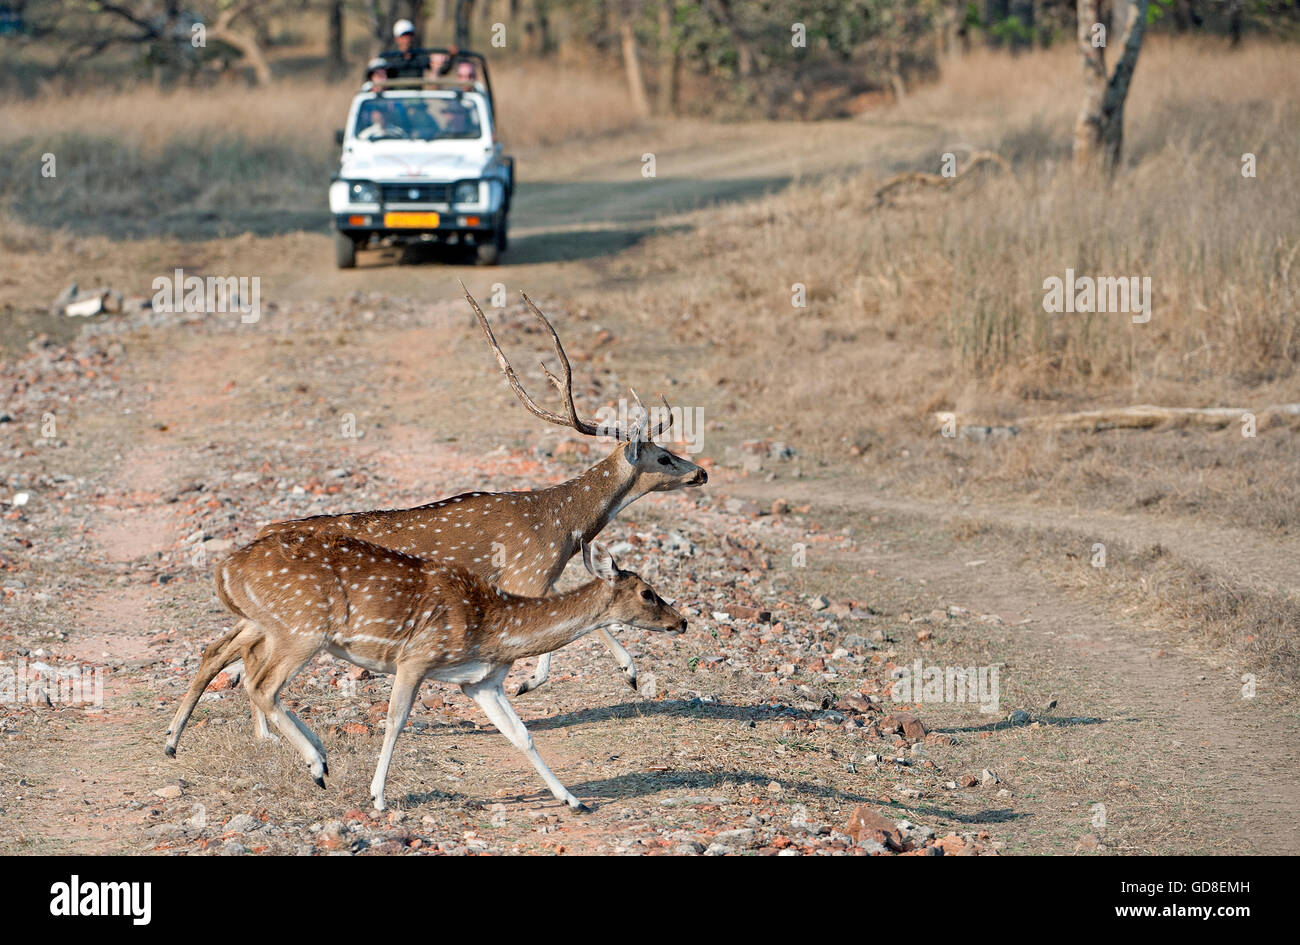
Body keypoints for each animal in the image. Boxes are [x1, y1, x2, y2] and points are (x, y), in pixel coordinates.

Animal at [167, 532, 686, 811]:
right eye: (647, 592)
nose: (681, 620)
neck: (494, 627)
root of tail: (223, 570)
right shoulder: (416, 657)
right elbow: (395, 721)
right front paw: (377, 798)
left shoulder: (481, 683)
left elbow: (521, 736)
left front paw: (574, 801)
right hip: (302, 629)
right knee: (261, 684)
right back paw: (316, 765)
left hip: (275, 626)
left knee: (234, 663)